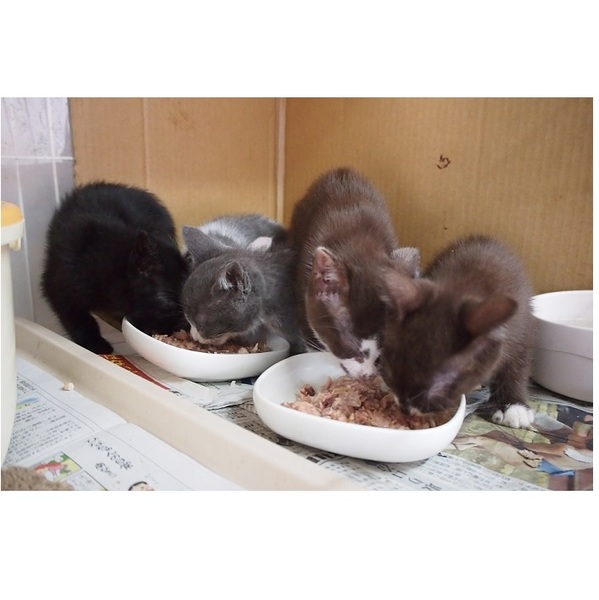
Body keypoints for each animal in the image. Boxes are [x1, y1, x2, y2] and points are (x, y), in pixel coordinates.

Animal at [379, 235, 536, 429]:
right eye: (391, 368)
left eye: (440, 384)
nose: (405, 408)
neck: (465, 286)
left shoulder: (523, 330)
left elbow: (517, 368)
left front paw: (513, 406)